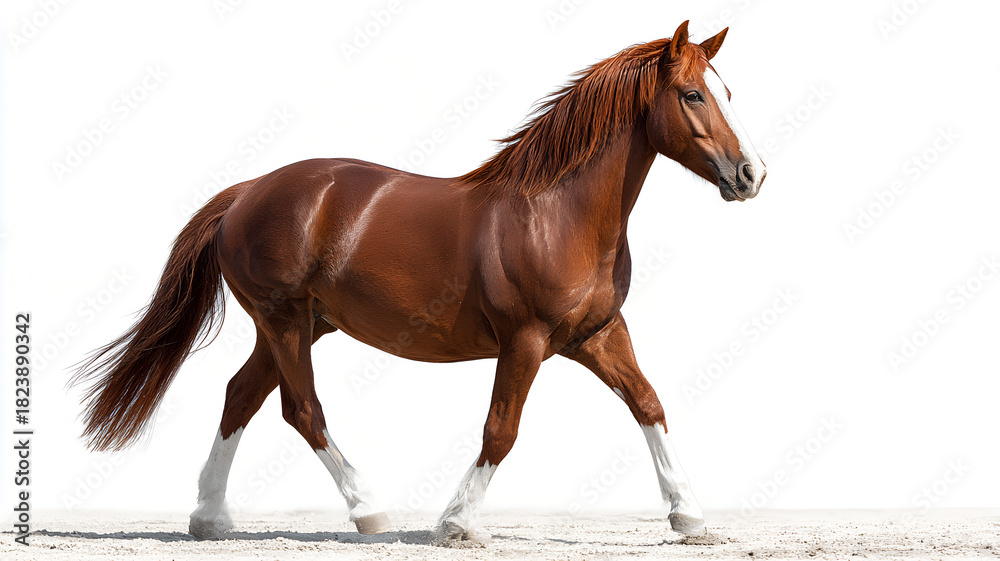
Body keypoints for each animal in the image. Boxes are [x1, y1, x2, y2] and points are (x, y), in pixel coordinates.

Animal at [73, 20, 765, 544]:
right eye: (693, 95)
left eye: (727, 90)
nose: (751, 174)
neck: (555, 213)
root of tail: (246, 192)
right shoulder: (526, 341)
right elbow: (501, 429)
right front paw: (455, 524)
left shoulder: (596, 333)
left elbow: (649, 404)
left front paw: (690, 516)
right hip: (284, 320)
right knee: (301, 410)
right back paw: (368, 511)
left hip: (303, 326)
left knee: (239, 395)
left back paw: (210, 519)